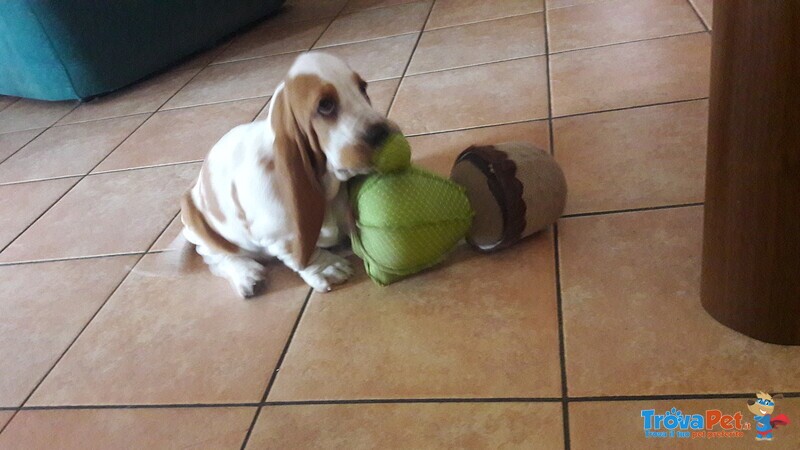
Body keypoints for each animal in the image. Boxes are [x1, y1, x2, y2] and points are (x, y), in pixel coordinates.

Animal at [179, 51, 396, 296]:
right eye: (325, 105)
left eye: (363, 88)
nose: (383, 133)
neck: (327, 182)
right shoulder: (282, 236)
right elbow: (302, 254)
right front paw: (328, 268)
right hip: (199, 225)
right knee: (215, 256)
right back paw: (246, 275)